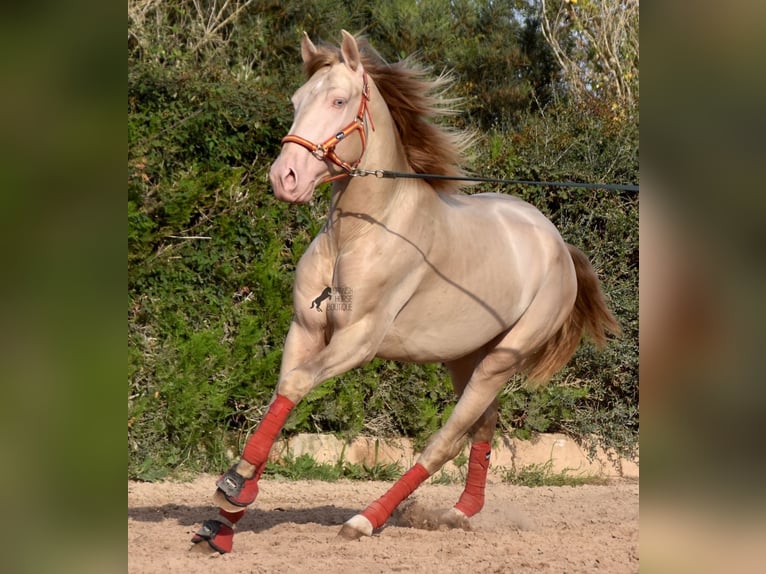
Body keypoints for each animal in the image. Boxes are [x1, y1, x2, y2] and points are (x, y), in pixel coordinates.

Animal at [194, 30, 624, 552]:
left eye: (338, 101)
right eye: (296, 100)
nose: (285, 178)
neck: (357, 234)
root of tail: (558, 244)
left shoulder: (358, 339)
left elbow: (296, 385)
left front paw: (233, 487)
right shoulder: (306, 328)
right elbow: (283, 391)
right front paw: (224, 520)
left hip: (502, 360)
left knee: (446, 441)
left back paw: (366, 519)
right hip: (466, 358)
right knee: (483, 426)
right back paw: (458, 513)